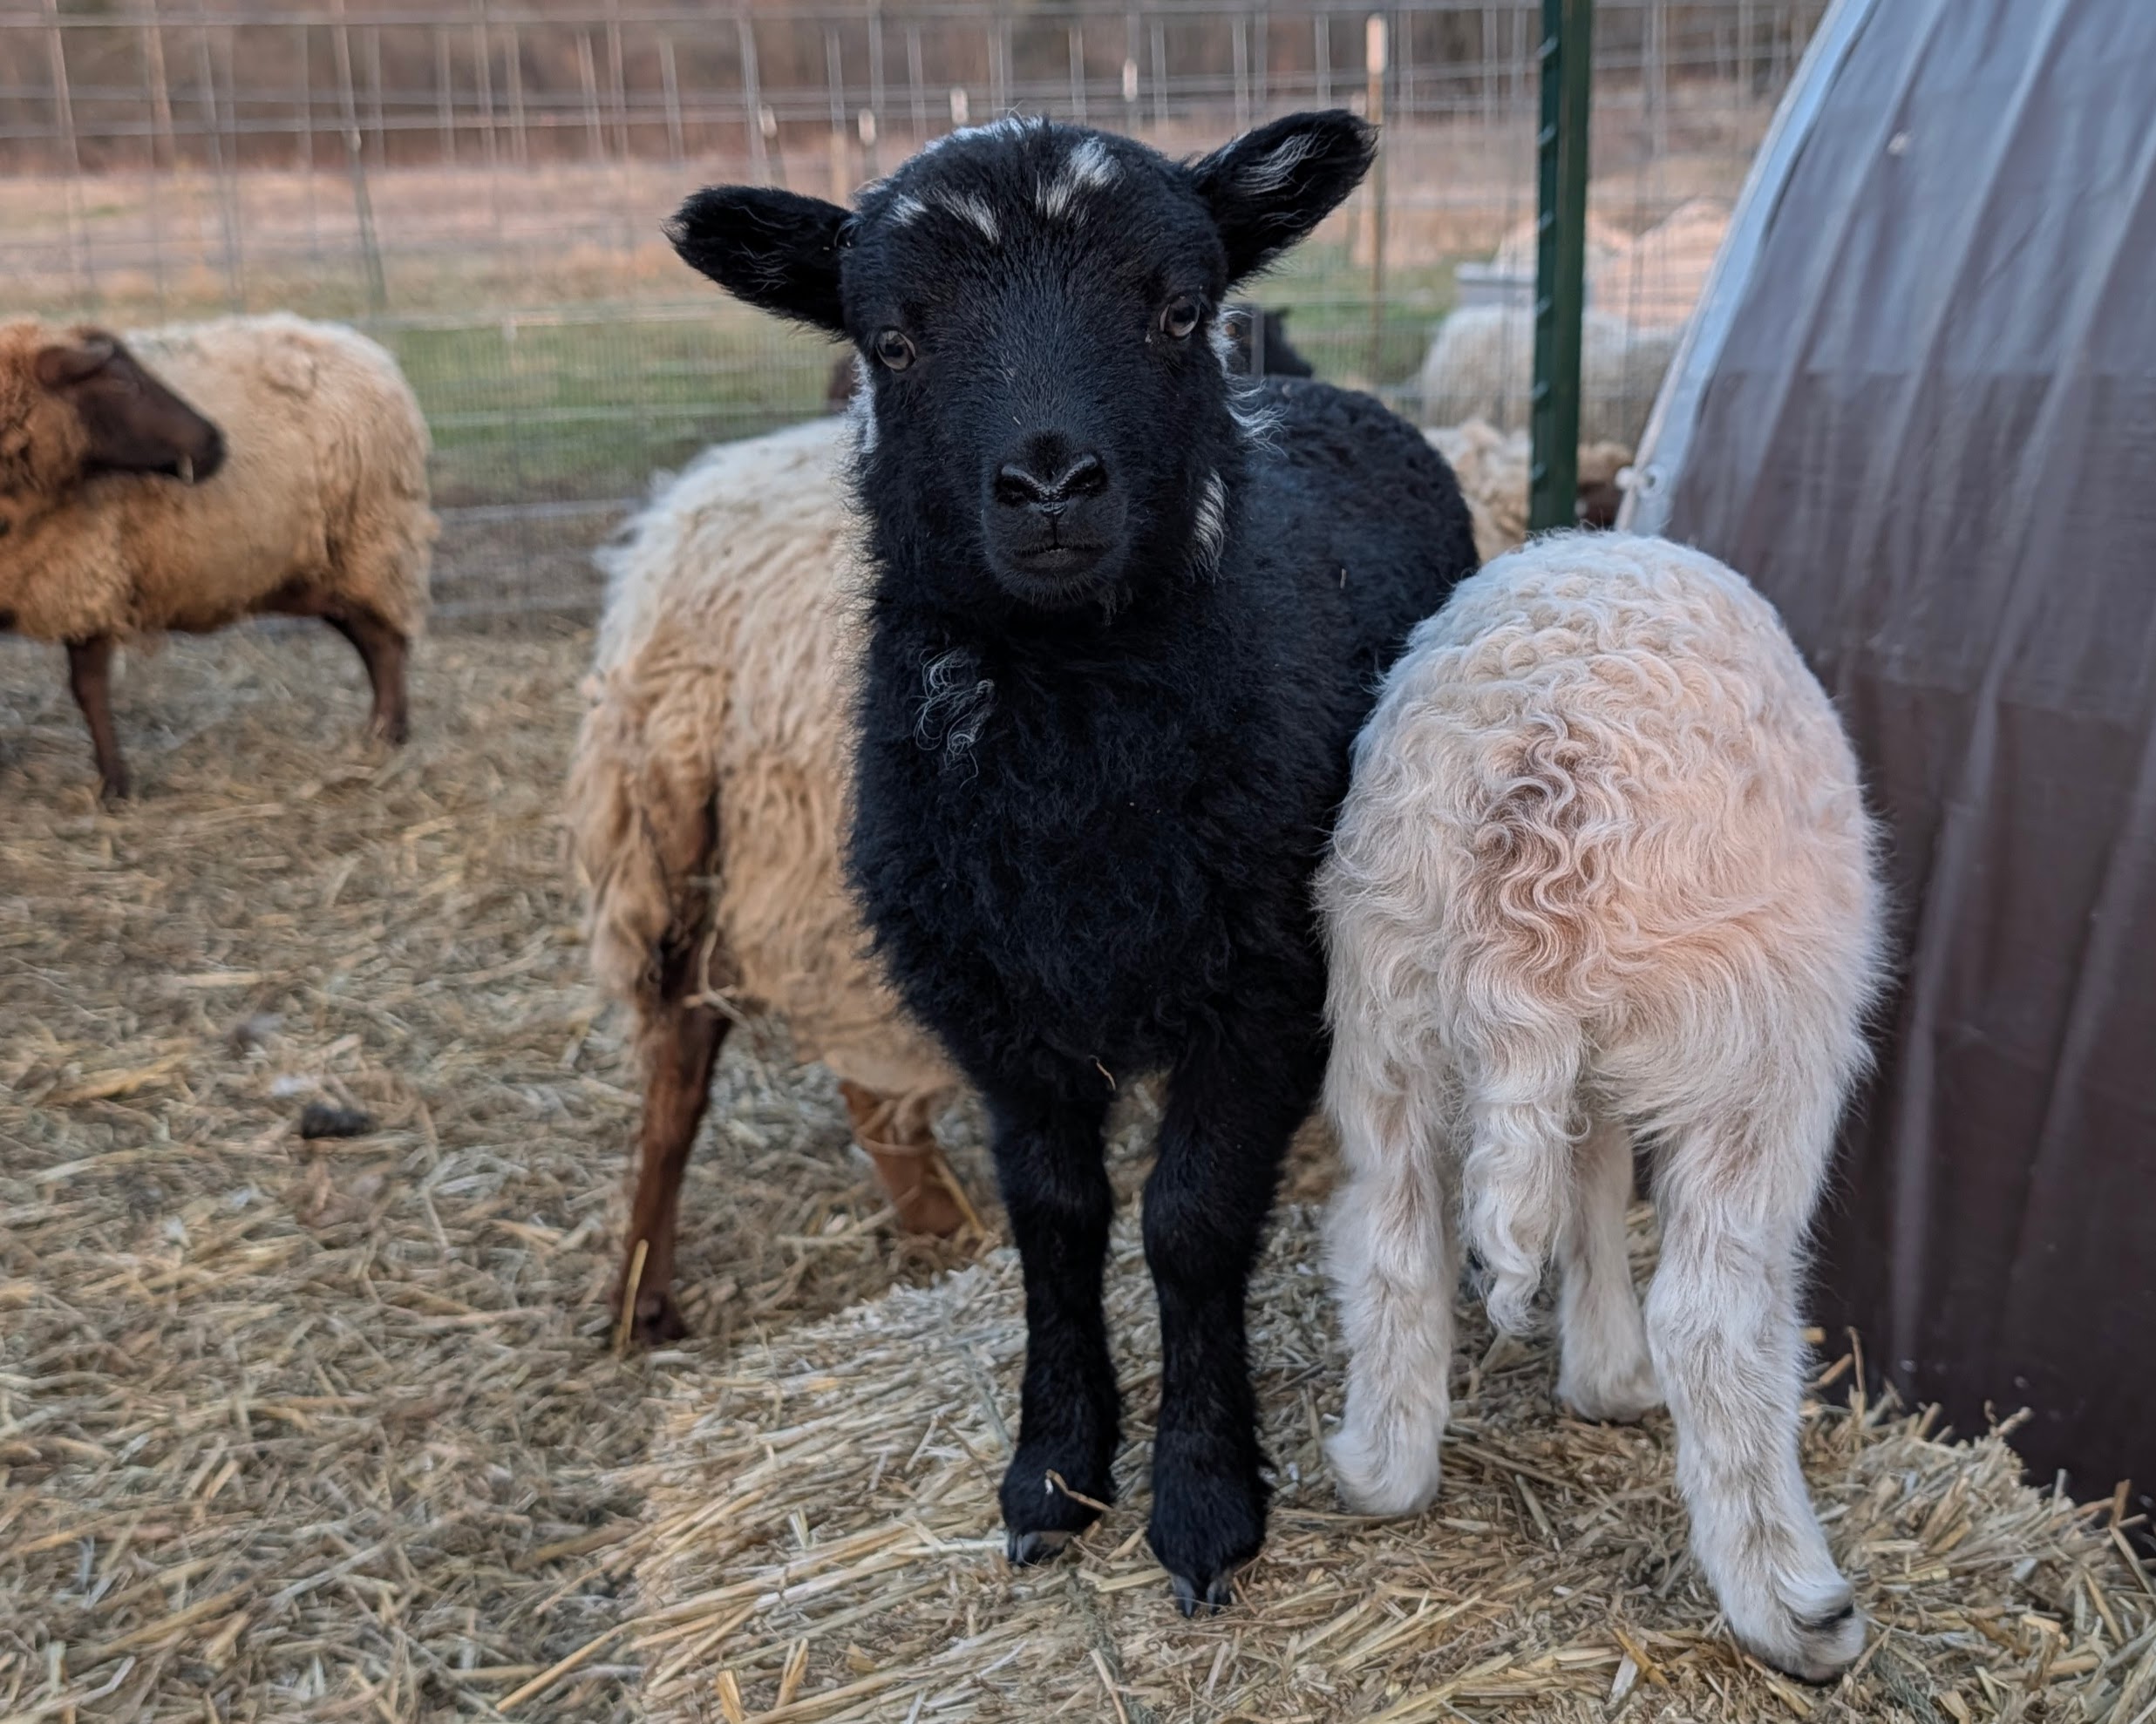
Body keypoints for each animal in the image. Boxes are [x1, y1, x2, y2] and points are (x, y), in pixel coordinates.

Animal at [0, 314, 435, 798]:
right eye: (120, 382)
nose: (215, 442)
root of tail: (367, 351)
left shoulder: (86, 575)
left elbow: (89, 688)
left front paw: (116, 787)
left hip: (371, 543)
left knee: (386, 643)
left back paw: (387, 740)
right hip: (321, 570)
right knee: (370, 637)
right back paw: (383, 739)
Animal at [668, 110, 1481, 1611]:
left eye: (1178, 310)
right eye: (891, 341)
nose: (1049, 484)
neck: (1070, 761)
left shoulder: (1262, 991)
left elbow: (1188, 1222)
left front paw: (1202, 1496)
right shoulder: (996, 1012)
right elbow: (1057, 1216)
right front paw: (1052, 1471)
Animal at [1318, 533, 1887, 1681]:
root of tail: (1544, 776)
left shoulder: (1578, 1065)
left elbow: (1585, 1186)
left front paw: (1601, 1373)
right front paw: (1620, 1380)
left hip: (1385, 1000)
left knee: (1394, 1245)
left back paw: (1379, 1469)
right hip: (1766, 1048)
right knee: (1710, 1315)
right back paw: (1794, 1606)